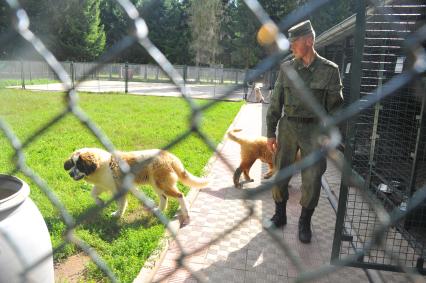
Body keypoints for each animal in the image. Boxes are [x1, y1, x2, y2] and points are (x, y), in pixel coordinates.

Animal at [63, 149, 208, 224]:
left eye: (80, 165)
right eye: (72, 164)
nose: (70, 174)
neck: (101, 166)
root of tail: (169, 155)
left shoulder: (118, 188)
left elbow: (121, 204)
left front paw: (117, 215)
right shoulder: (102, 185)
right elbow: (92, 193)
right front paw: (99, 202)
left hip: (161, 183)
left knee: (179, 195)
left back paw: (186, 214)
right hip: (156, 184)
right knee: (164, 198)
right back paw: (158, 210)